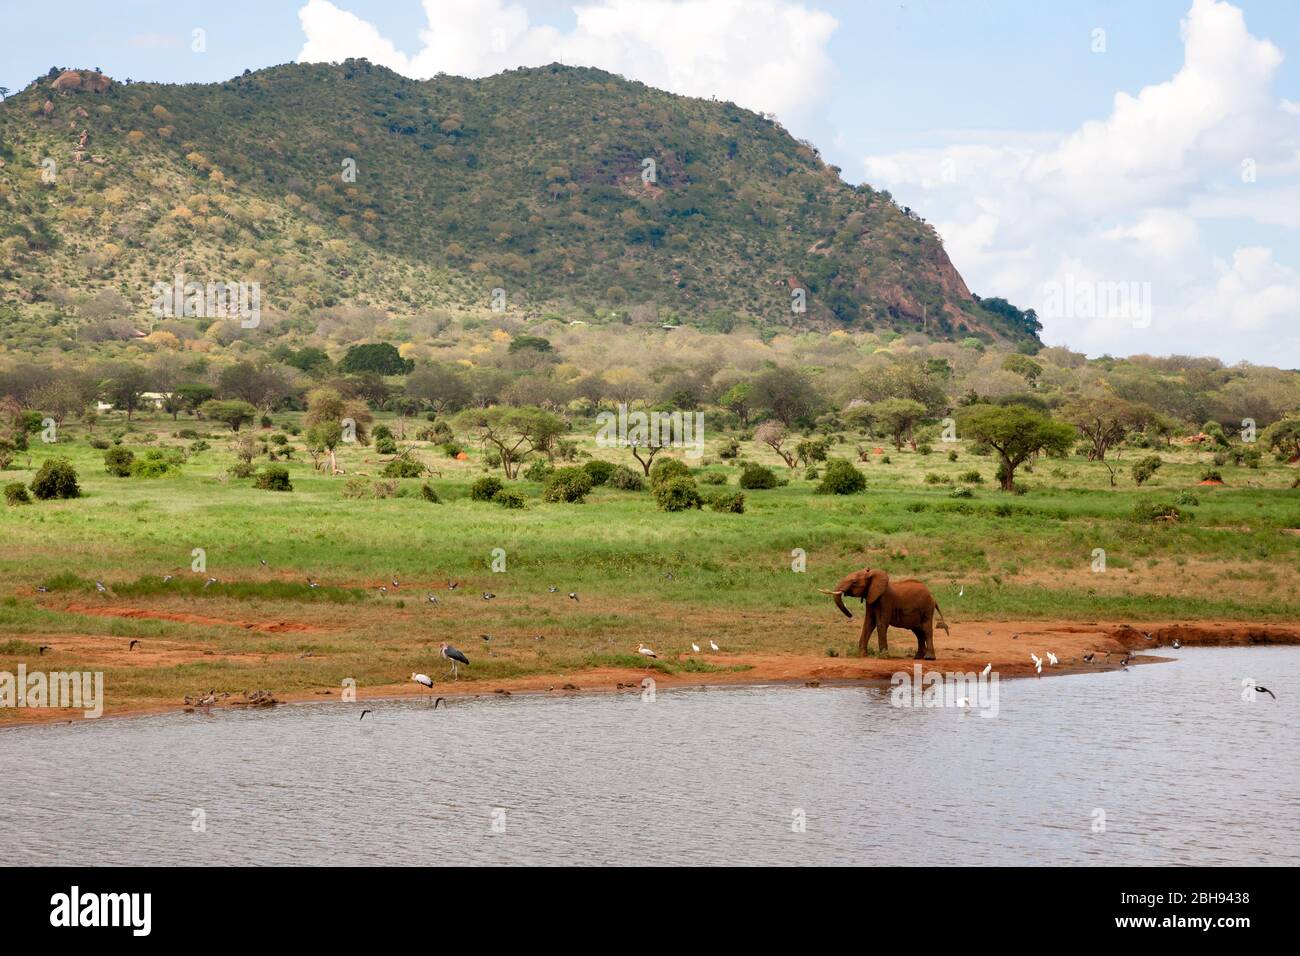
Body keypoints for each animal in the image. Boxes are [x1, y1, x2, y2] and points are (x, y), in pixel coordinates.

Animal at [816, 567, 951, 658]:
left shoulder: (884, 600)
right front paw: (861, 654)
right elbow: (868, 623)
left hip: (927, 609)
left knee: (926, 630)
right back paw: (917, 657)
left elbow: (881, 624)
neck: (873, 575)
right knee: (918, 632)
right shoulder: (871, 598)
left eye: (854, 582)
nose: (850, 615)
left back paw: (929, 658)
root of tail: (933, 598)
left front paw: (884, 655)